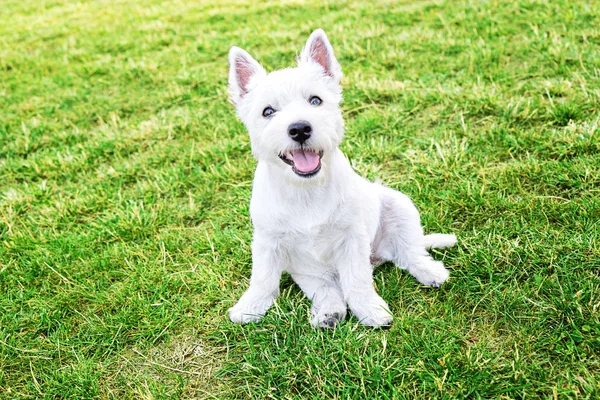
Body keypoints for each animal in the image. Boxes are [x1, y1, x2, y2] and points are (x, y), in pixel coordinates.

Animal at [225, 28, 454, 328]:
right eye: (268, 111)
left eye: (315, 100)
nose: (300, 129)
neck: (305, 189)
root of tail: (380, 254)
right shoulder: (267, 241)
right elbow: (262, 278)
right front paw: (250, 306)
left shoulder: (351, 239)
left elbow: (357, 280)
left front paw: (370, 309)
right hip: (305, 270)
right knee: (327, 287)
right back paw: (329, 312)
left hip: (399, 207)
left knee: (410, 253)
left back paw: (430, 272)